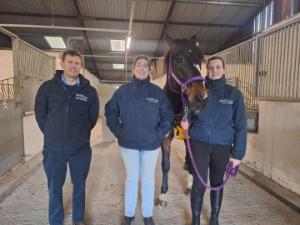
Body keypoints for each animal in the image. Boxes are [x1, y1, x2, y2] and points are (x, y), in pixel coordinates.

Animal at [155, 33, 209, 207]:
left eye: (200, 60)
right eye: (178, 60)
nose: (201, 98)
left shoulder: (191, 133)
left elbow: (193, 161)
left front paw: (190, 186)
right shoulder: (166, 136)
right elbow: (165, 165)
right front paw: (163, 195)